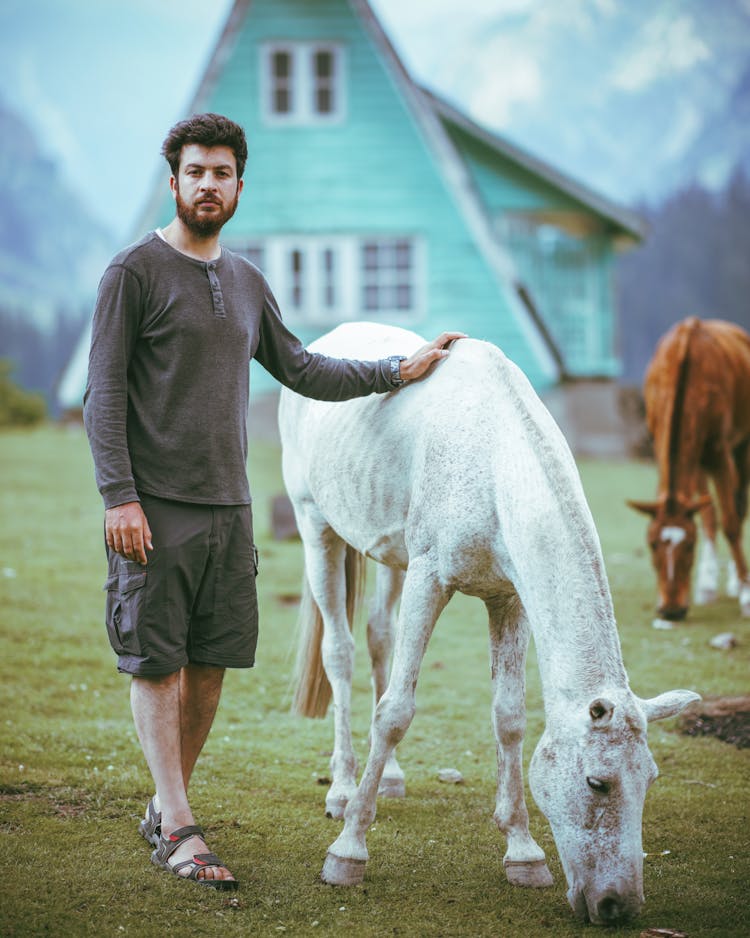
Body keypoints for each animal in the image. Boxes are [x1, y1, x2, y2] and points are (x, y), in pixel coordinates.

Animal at [280, 322, 704, 920]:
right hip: (316, 525)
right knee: (339, 653)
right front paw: (348, 853)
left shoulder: (508, 598)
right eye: (598, 783)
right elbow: (394, 712)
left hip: (389, 554)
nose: (618, 906)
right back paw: (342, 790)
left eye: (651, 780)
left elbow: (509, 718)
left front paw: (523, 853)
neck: (495, 461)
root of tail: (328, 337)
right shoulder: (430, 578)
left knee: (379, 637)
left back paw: (389, 778)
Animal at [632, 318, 750, 616]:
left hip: (742, 443)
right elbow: (707, 514)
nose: (672, 610)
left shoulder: (718, 449)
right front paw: (706, 587)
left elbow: (730, 521)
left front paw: (746, 595)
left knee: (739, 504)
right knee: (710, 512)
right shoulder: (667, 440)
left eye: (689, 545)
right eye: (652, 544)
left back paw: (736, 582)